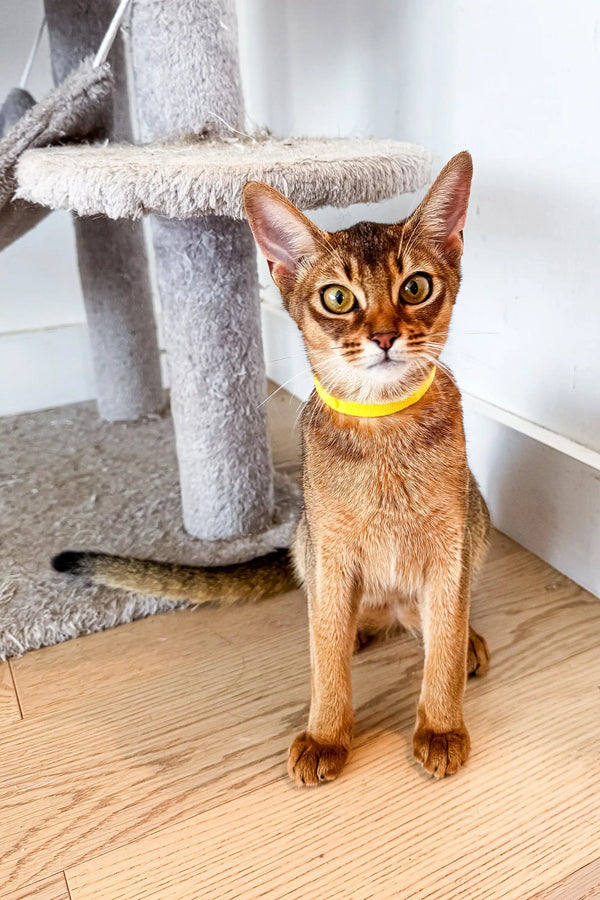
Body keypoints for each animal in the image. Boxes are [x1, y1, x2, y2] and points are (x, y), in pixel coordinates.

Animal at [54, 155, 490, 788]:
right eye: (338, 298)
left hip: (475, 522)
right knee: (349, 618)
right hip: (308, 540)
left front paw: (440, 727)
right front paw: (327, 735)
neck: (383, 431)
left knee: (429, 620)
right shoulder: (331, 551)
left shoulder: (448, 545)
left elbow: (444, 646)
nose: (384, 337)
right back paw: (360, 629)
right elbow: (326, 655)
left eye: (415, 286)